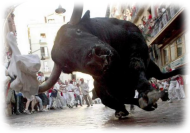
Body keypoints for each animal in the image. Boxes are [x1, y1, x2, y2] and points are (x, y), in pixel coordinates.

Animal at [39, 10, 186, 118]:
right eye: (66, 66)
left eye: (78, 31)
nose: (97, 60)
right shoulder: (104, 87)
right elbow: (116, 98)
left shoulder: (137, 46)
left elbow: (135, 66)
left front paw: (149, 93)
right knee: (123, 100)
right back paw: (124, 110)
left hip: (154, 69)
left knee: (162, 76)